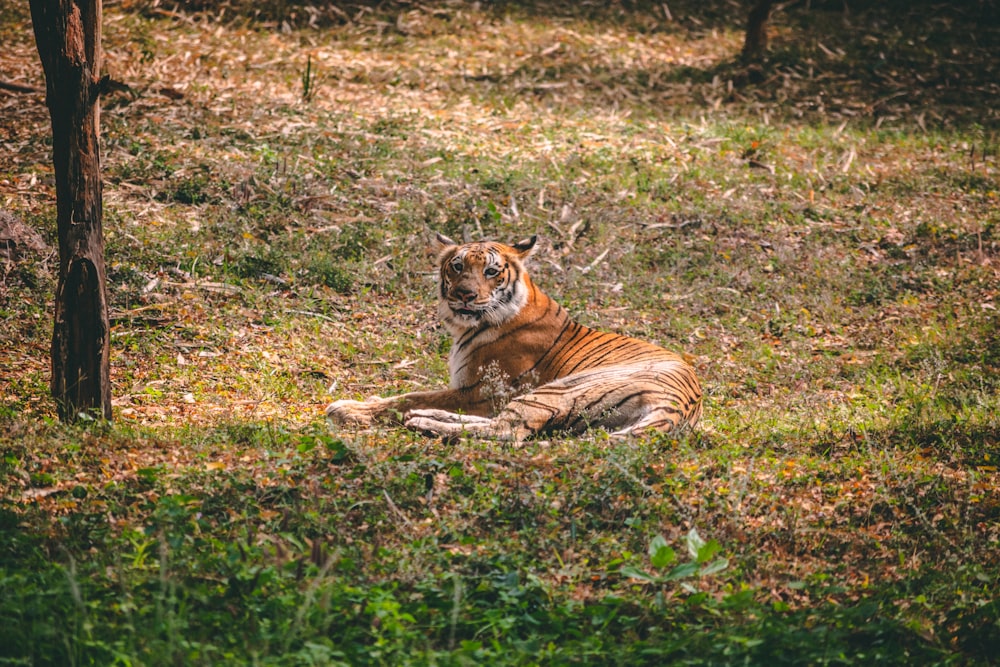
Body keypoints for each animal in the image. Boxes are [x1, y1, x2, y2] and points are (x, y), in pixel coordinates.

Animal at [324, 232, 700, 440]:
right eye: (457, 267)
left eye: (491, 271)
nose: (464, 294)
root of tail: (680, 406)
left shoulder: (482, 391)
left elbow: (409, 396)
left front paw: (348, 409)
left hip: (556, 391)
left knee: (508, 430)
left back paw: (422, 421)